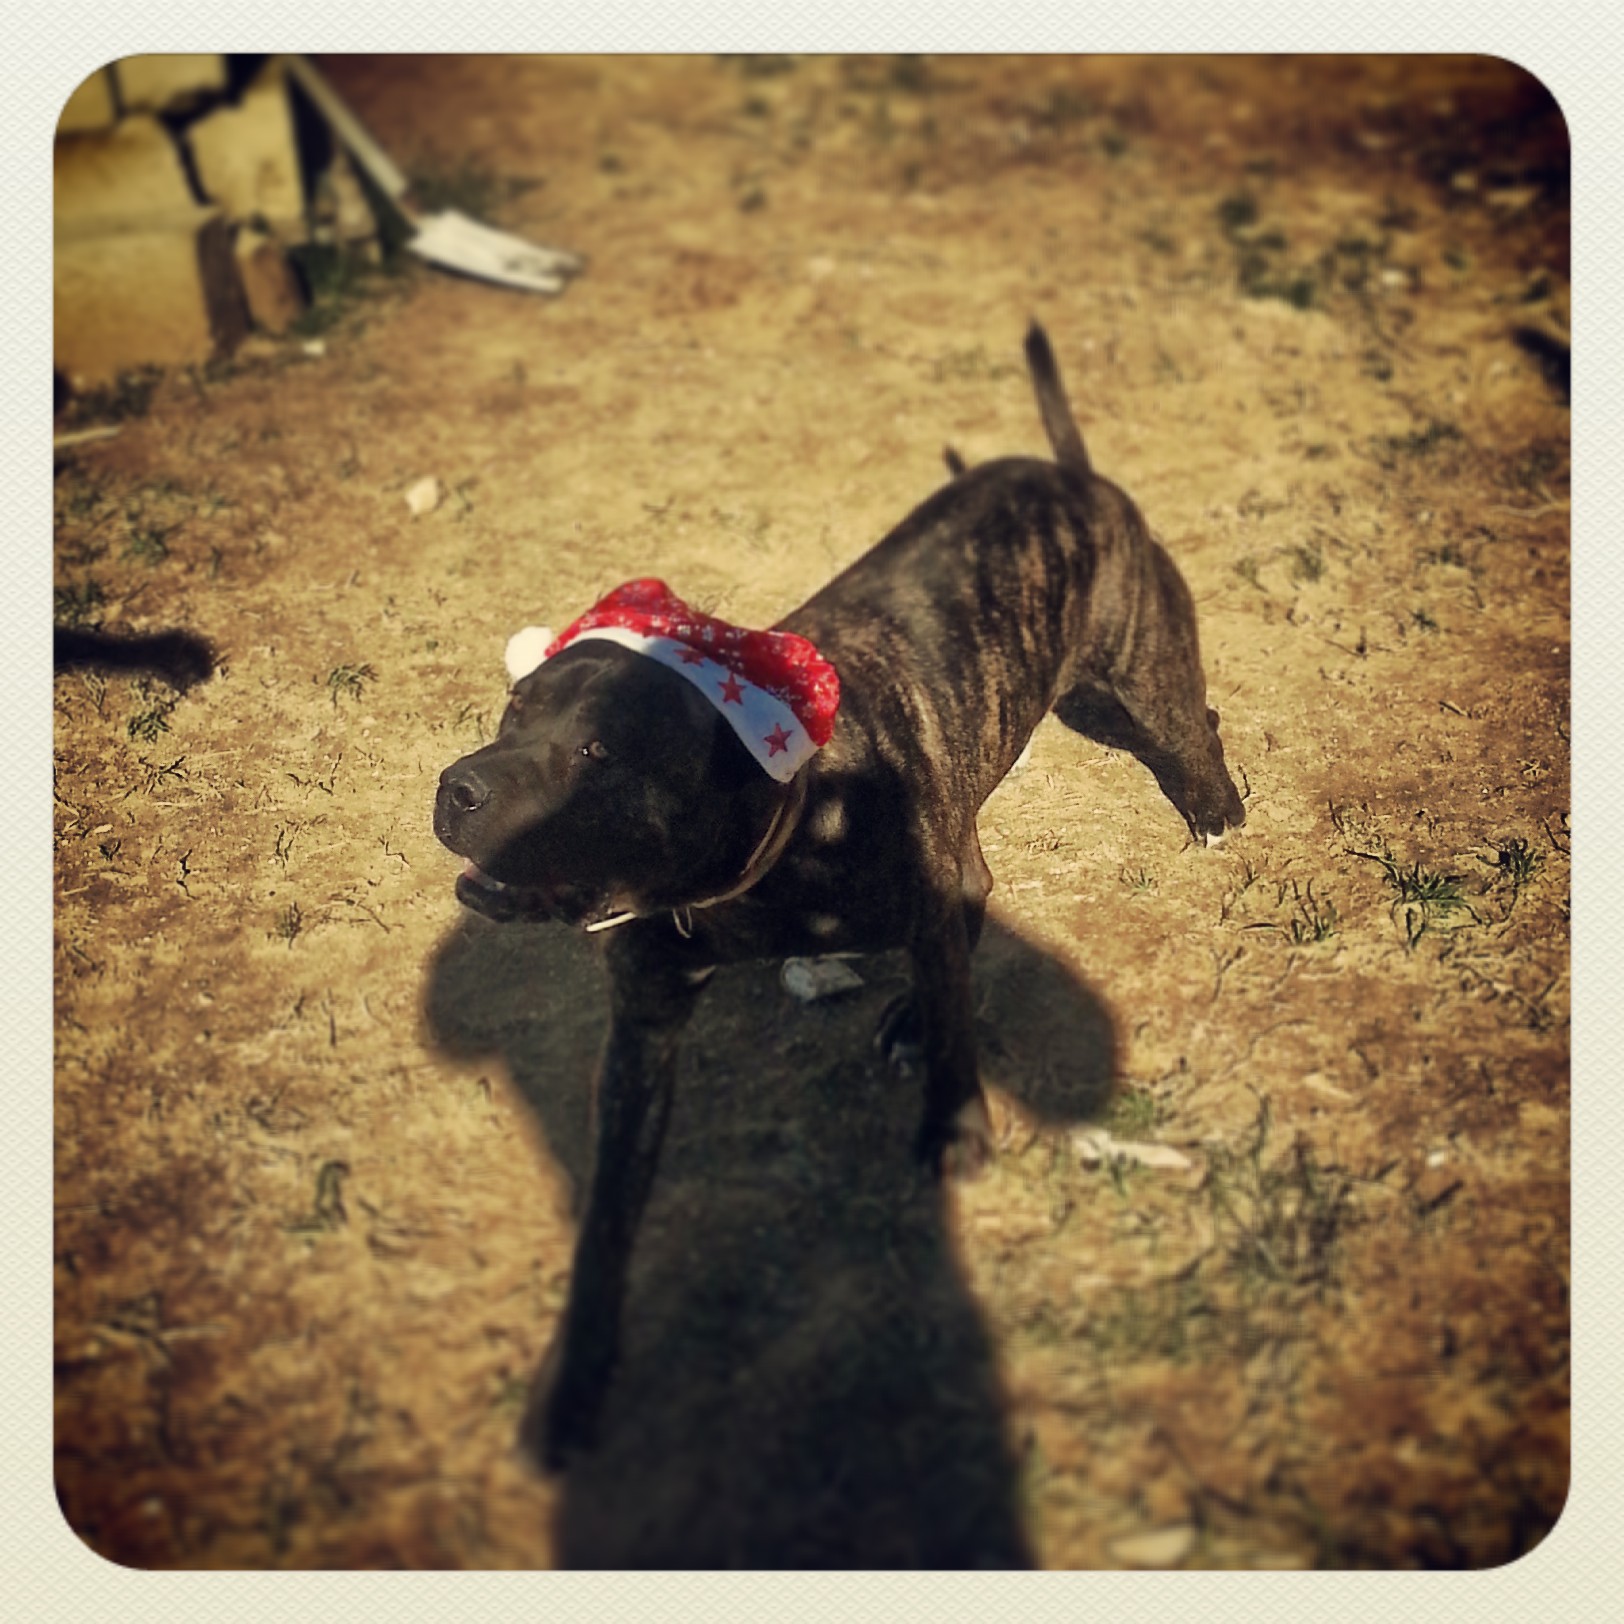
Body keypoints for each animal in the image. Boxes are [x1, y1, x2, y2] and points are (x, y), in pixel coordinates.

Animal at [433, 323, 1245, 1468]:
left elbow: (955, 1023)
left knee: (1188, 727)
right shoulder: (641, 1036)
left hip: (1143, 673)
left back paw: (1216, 810)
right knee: (979, 888)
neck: (756, 852)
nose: (455, 786)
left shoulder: (919, 894)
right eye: (512, 712)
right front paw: (573, 1376)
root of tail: (1077, 479)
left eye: (596, 753)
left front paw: (955, 1125)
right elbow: (605, 1223)